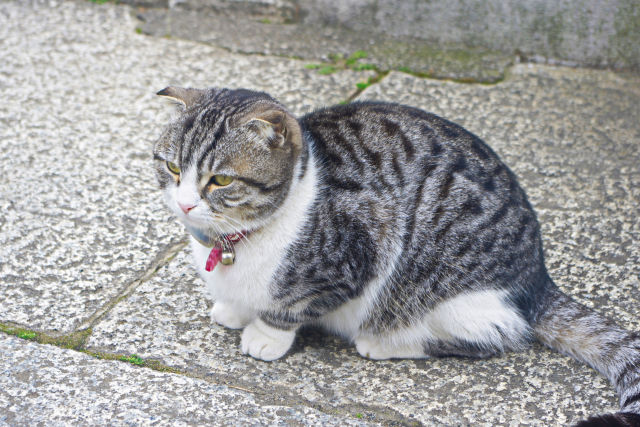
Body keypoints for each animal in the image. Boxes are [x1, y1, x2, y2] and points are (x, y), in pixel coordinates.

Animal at [154, 85, 640, 426]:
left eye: (219, 180)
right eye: (173, 168)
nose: (185, 204)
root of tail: (538, 277)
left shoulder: (357, 255)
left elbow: (292, 307)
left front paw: (264, 334)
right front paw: (234, 309)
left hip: (454, 296)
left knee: (492, 337)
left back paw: (383, 341)